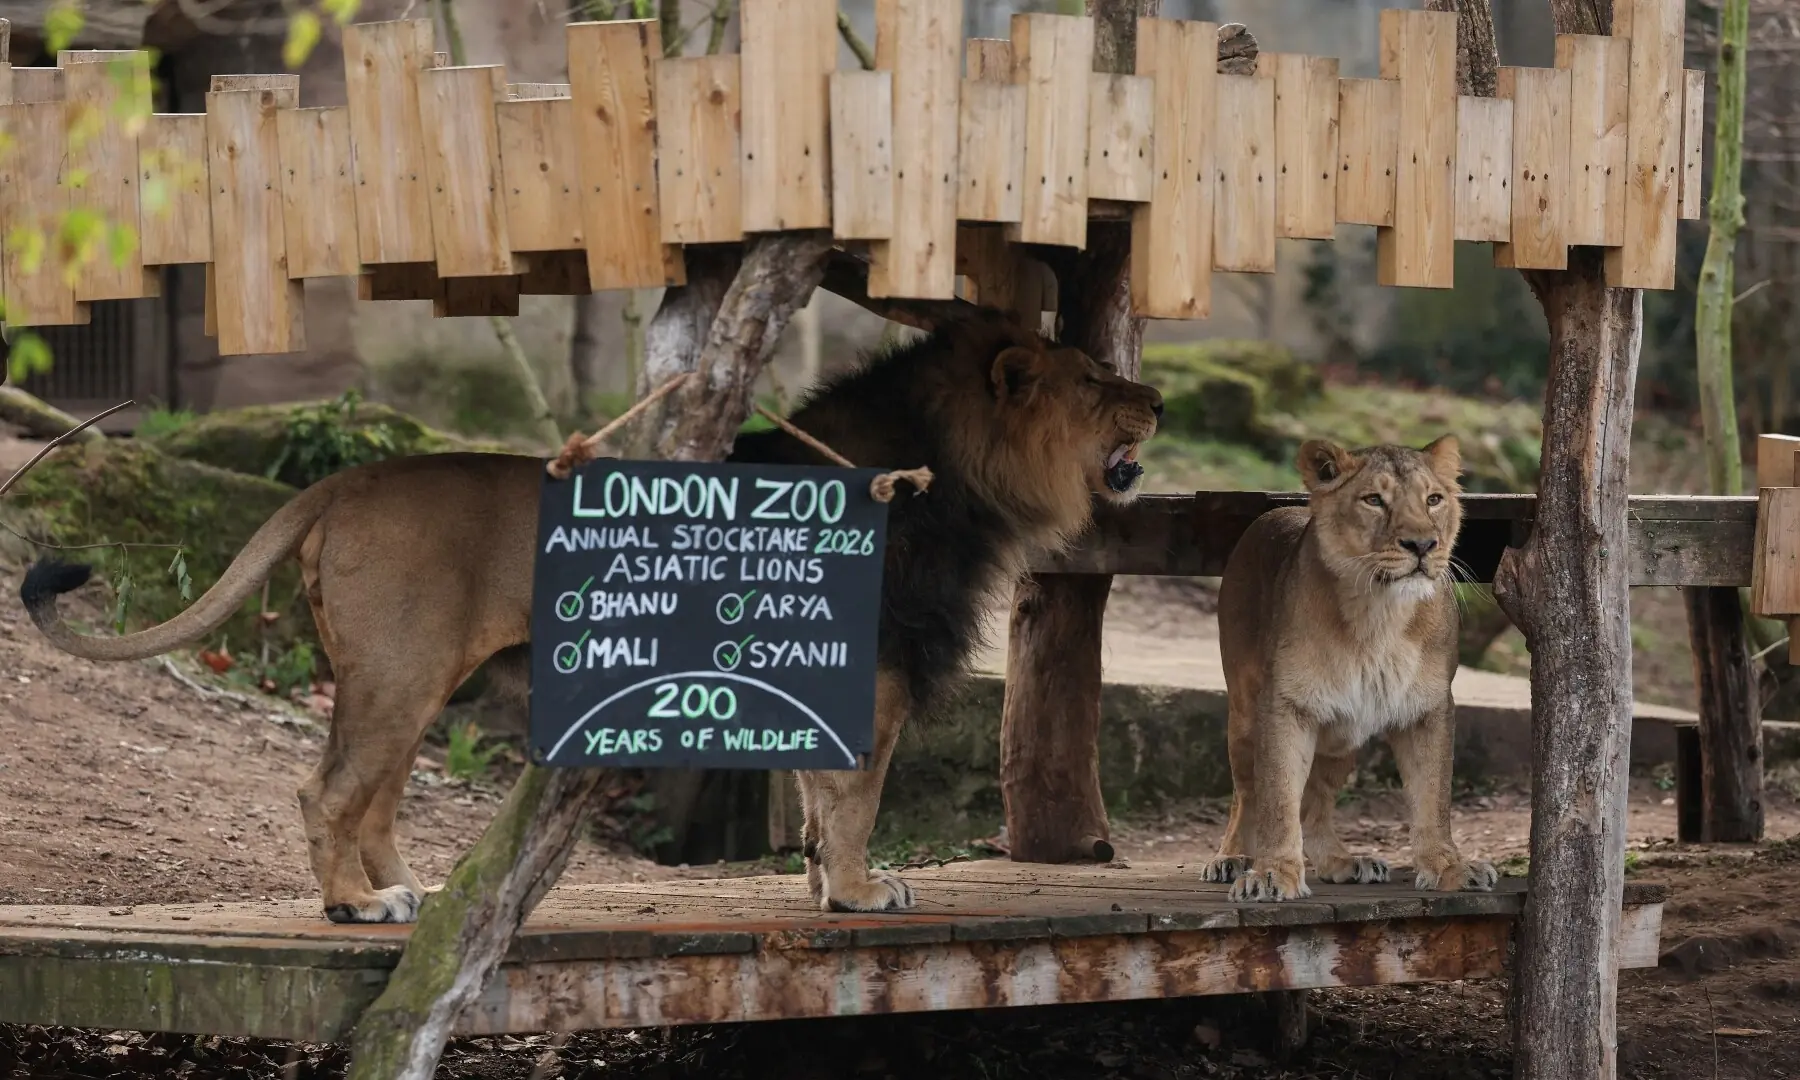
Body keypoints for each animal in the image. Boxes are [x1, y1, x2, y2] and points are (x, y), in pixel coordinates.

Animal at [21, 308, 1163, 923]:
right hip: (398, 673)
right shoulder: (872, 669)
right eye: (1093, 379)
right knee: (326, 790)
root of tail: (352, 477)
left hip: (412, 680)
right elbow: (856, 798)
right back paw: (356, 905)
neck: (957, 477)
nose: (1155, 398)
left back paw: (411, 895)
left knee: (371, 799)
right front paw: (858, 890)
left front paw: (818, 885)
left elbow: (814, 791)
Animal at [1199, 436, 1498, 902]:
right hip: (1245, 712)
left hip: (1343, 733)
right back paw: (1231, 858)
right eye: (1374, 500)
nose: (1423, 545)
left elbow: (1433, 796)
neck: (1379, 615)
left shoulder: (1429, 708)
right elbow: (1277, 798)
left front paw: (1451, 868)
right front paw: (1273, 873)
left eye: (1433, 499)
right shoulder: (1284, 705)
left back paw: (1342, 862)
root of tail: (1271, 513)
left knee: (1316, 803)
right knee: (1246, 794)